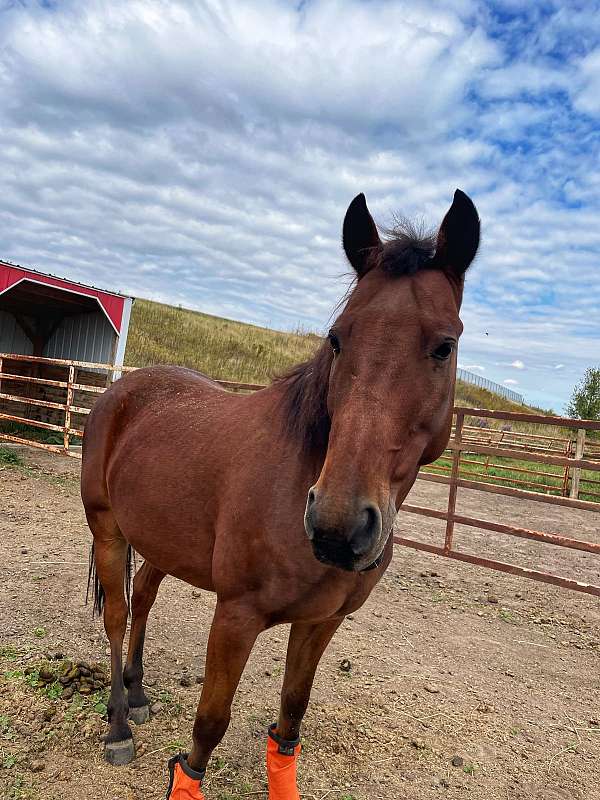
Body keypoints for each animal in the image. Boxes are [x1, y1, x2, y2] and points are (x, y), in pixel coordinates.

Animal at [82, 189, 480, 800]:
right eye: (337, 338)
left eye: (444, 346)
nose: (339, 525)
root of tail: (120, 391)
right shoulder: (235, 617)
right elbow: (209, 727)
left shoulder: (320, 623)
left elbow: (291, 719)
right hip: (108, 530)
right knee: (119, 616)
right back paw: (119, 723)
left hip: (161, 541)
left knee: (144, 596)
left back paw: (139, 691)